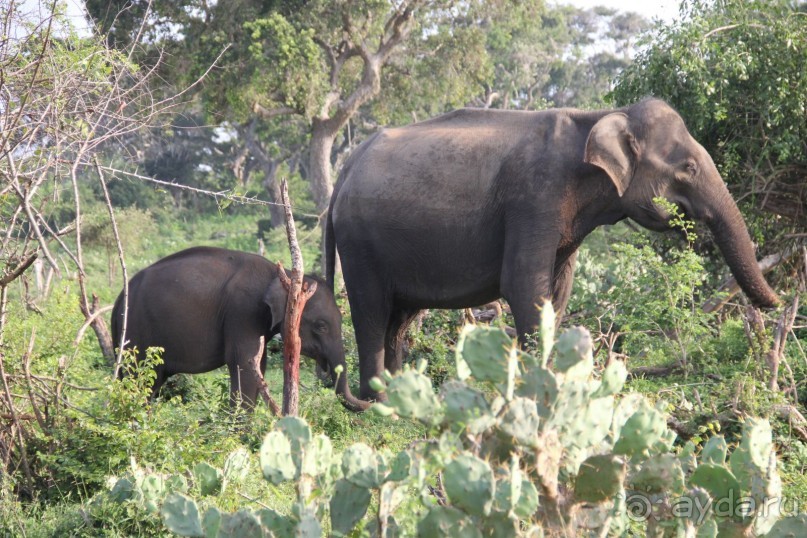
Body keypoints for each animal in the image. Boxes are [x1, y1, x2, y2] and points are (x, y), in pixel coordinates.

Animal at [110, 247, 370, 410]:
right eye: (321, 326)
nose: (370, 403)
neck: (283, 273)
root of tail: (118, 300)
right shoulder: (243, 311)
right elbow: (243, 363)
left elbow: (259, 367)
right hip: (136, 333)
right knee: (140, 381)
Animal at [326, 96, 780, 400]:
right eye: (687, 167)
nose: (777, 304)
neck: (601, 116)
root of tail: (344, 171)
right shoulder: (534, 198)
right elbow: (524, 285)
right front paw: (539, 390)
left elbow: (558, 294)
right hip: (359, 242)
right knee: (371, 312)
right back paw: (377, 402)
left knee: (398, 319)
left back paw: (397, 396)